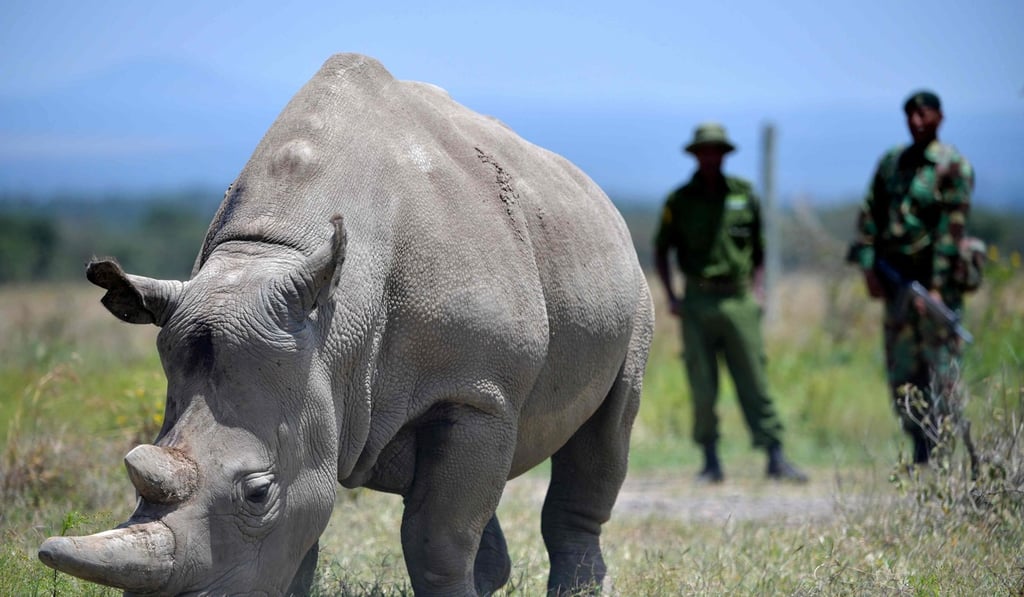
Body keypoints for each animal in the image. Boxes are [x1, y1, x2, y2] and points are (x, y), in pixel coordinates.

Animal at [38, 53, 653, 596]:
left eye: (257, 493)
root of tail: (597, 193)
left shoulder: (478, 391)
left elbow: (438, 537)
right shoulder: (314, 375)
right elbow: (307, 533)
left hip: (632, 286)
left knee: (605, 434)